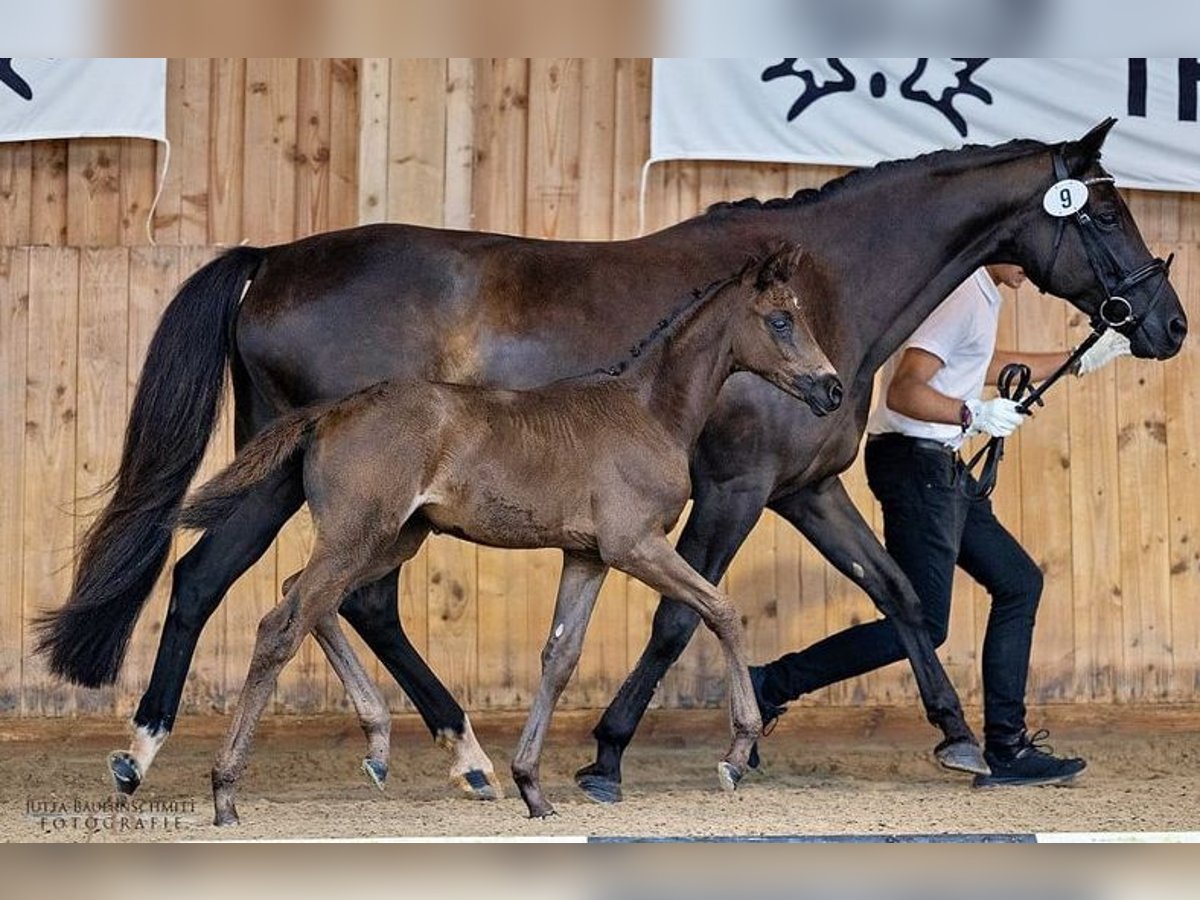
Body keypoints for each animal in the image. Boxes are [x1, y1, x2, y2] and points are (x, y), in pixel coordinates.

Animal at [182, 247, 844, 825]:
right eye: (780, 320)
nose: (832, 388)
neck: (647, 410)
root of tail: (330, 411)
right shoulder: (635, 545)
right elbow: (722, 610)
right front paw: (735, 756)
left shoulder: (587, 555)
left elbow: (560, 656)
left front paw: (532, 787)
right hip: (357, 536)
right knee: (283, 624)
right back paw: (226, 793)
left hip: (393, 539)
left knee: (309, 598)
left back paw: (378, 748)